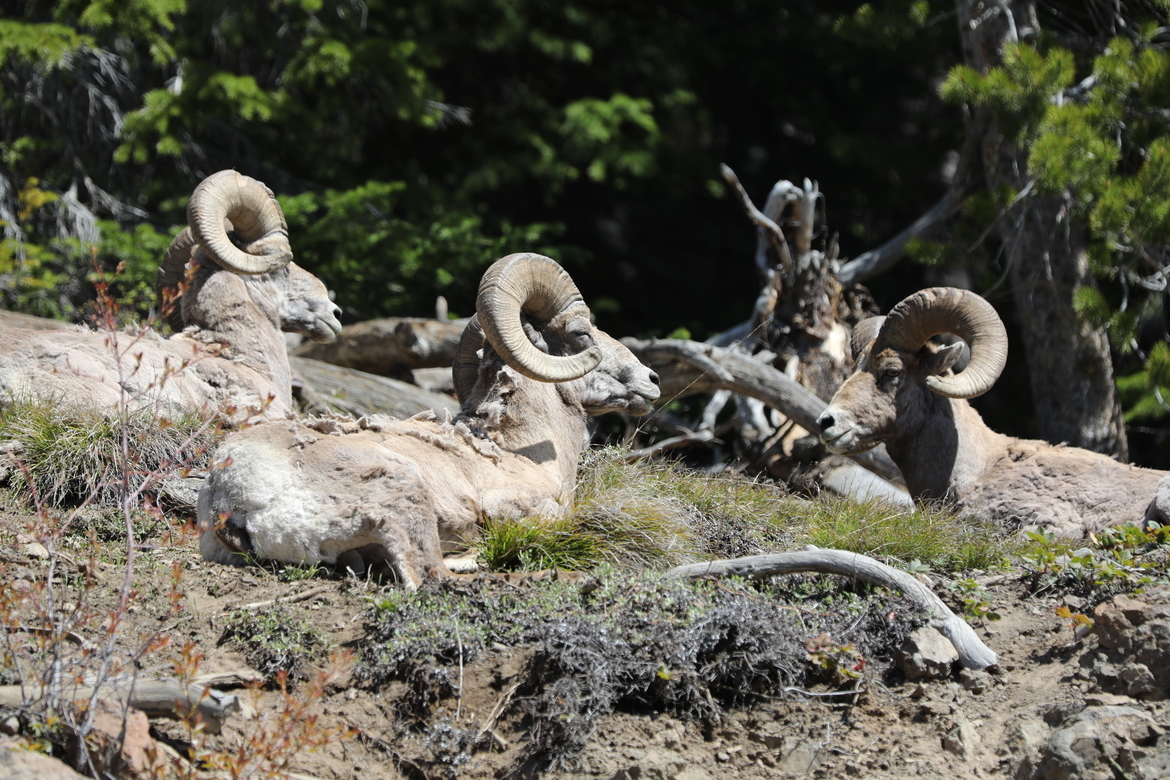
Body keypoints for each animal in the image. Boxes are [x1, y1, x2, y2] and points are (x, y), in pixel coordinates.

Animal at [196, 252, 661, 587]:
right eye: (582, 333)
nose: (652, 381)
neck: (516, 450)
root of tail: (233, 494)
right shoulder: (511, 506)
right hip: (403, 495)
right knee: (428, 576)